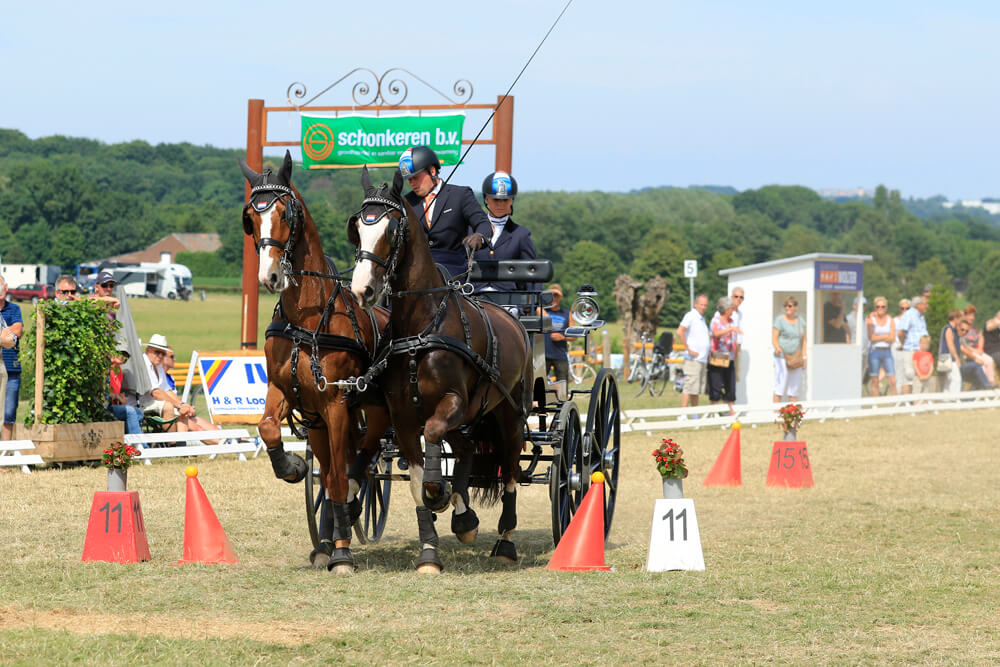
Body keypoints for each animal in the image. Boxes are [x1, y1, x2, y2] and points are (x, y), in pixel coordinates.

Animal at [238, 151, 390, 576]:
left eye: (285, 213)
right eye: (250, 217)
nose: (270, 276)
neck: (308, 318)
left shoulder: (336, 403)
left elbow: (337, 476)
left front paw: (342, 554)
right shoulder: (289, 394)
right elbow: (268, 428)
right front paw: (290, 466)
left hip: (372, 411)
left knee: (363, 458)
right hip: (321, 422)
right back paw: (327, 536)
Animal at [346, 167, 532, 576]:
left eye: (391, 230)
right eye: (359, 228)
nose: (363, 290)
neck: (422, 326)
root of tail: (514, 320)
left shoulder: (453, 401)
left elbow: (432, 440)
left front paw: (441, 496)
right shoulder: (401, 415)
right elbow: (418, 479)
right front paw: (430, 549)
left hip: (509, 412)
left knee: (511, 469)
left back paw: (505, 541)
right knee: (465, 448)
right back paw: (464, 518)